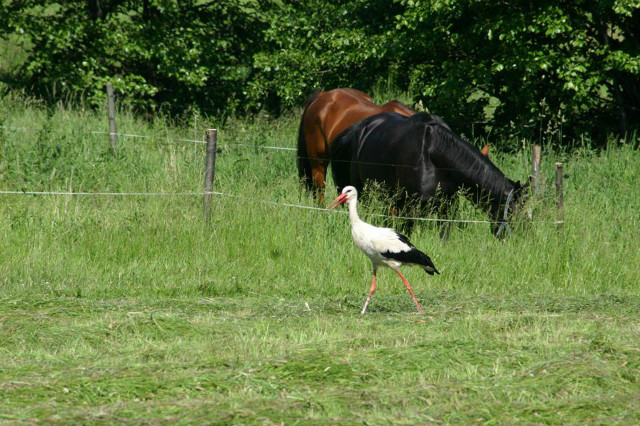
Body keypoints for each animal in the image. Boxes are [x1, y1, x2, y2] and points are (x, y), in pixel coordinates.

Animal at [328, 111, 528, 238]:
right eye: (512, 211)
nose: (522, 237)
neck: (432, 151)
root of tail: (359, 129)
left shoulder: (448, 205)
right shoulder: (411, 206)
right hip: (365, 191)